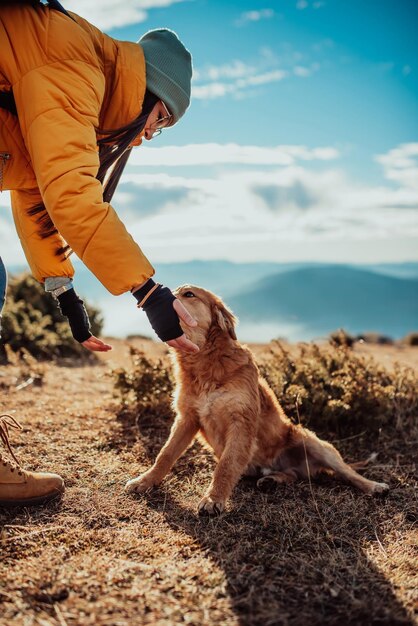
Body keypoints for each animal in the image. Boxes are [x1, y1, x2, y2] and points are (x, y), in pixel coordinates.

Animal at [124, 282, 388, 512]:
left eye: (189, 294)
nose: (156, 302)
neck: (206, 364)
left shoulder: (241, 421)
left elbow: (226, 465)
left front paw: (213, 499)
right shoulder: (187, 418)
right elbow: (165, 455)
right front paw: (145, 480)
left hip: (316, 444)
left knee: (348, 473)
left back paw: (374, 486)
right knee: (294, 475)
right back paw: (273, 480)